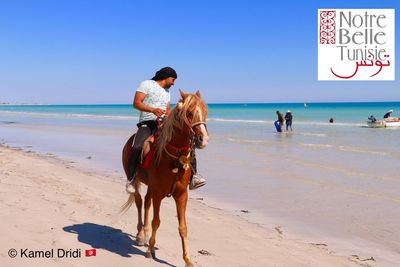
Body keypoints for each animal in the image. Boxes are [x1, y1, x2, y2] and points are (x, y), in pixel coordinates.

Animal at [121, 90, 209, 267]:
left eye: (205, 112)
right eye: (190, 113)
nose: (203, 139)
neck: (174, 159)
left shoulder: (181, 195)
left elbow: (183, 227)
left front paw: (187, 259)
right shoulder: (158, 194)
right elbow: (157, 221)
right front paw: (150, 251)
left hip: (151, 186)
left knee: (146, 202)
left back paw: (145, 234)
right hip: (137, 180)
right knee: (139, 201)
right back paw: (140, 235)